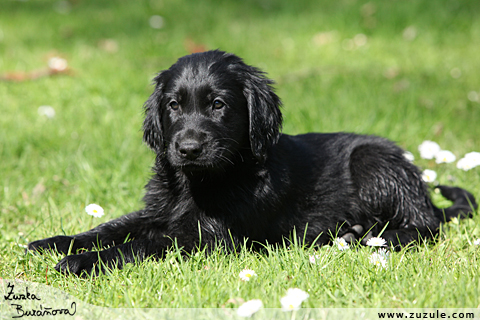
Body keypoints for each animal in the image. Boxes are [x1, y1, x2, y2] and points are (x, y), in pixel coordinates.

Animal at [29, 49, 476, 276]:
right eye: (173, 105)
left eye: (218, 105)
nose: (187, 148)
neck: (200, 181)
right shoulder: (158, 209)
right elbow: (112, 226)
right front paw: (55, 242)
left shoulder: (208, 236)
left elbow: (141, 243)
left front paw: (82, 262)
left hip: (374, 160)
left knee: (426, 226)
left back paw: (373, 238)